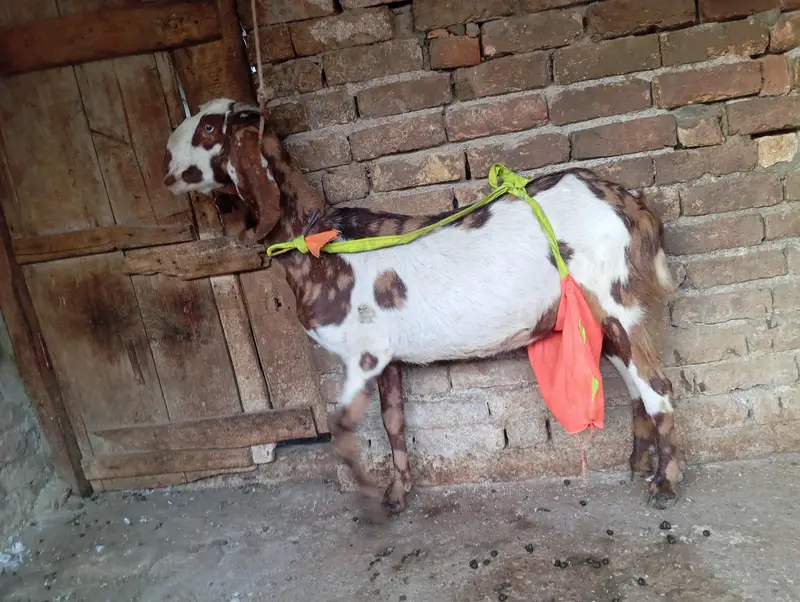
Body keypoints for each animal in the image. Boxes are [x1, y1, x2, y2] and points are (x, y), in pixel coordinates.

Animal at [163, 98, 680, 515]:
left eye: (208, 127)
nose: (165, 161)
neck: (320, 241)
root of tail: (631, 204)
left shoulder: (362, 353)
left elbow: (345, 428)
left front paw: (370, 499)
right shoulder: (386, 355)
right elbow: (394, 422)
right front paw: (397, 494)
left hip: (617, 301)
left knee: (657, 384)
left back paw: (665, 485)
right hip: (602, 315)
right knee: (635, 386)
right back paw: (638, 464)